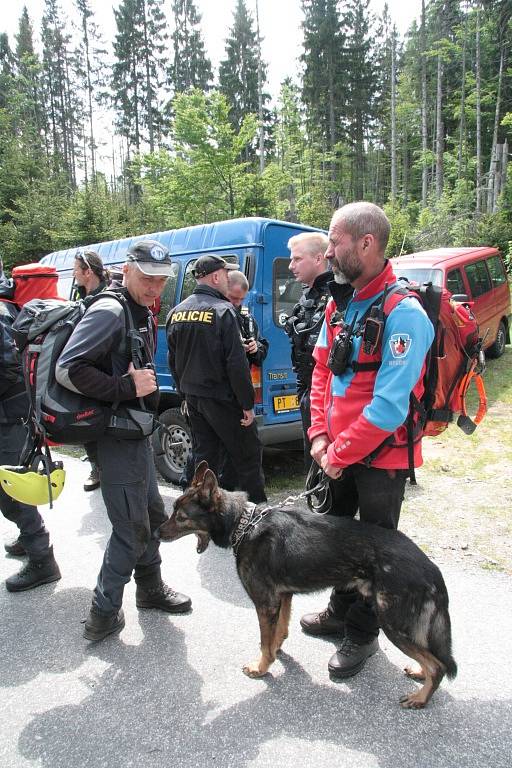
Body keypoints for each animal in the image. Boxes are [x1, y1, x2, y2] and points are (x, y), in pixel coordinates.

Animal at [158, 462, 458, 708]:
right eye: (173, 512)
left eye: (181, 517)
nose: (157, 532)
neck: (245, 523)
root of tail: (431, 567)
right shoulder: (283, 598)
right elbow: (279, 632)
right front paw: (276, 652)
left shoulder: (265, 604)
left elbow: (264, 641)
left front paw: (262, 667)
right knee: (433, 659)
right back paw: (419, 674)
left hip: (393, 624)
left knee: (438, 666)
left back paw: (421, 697)